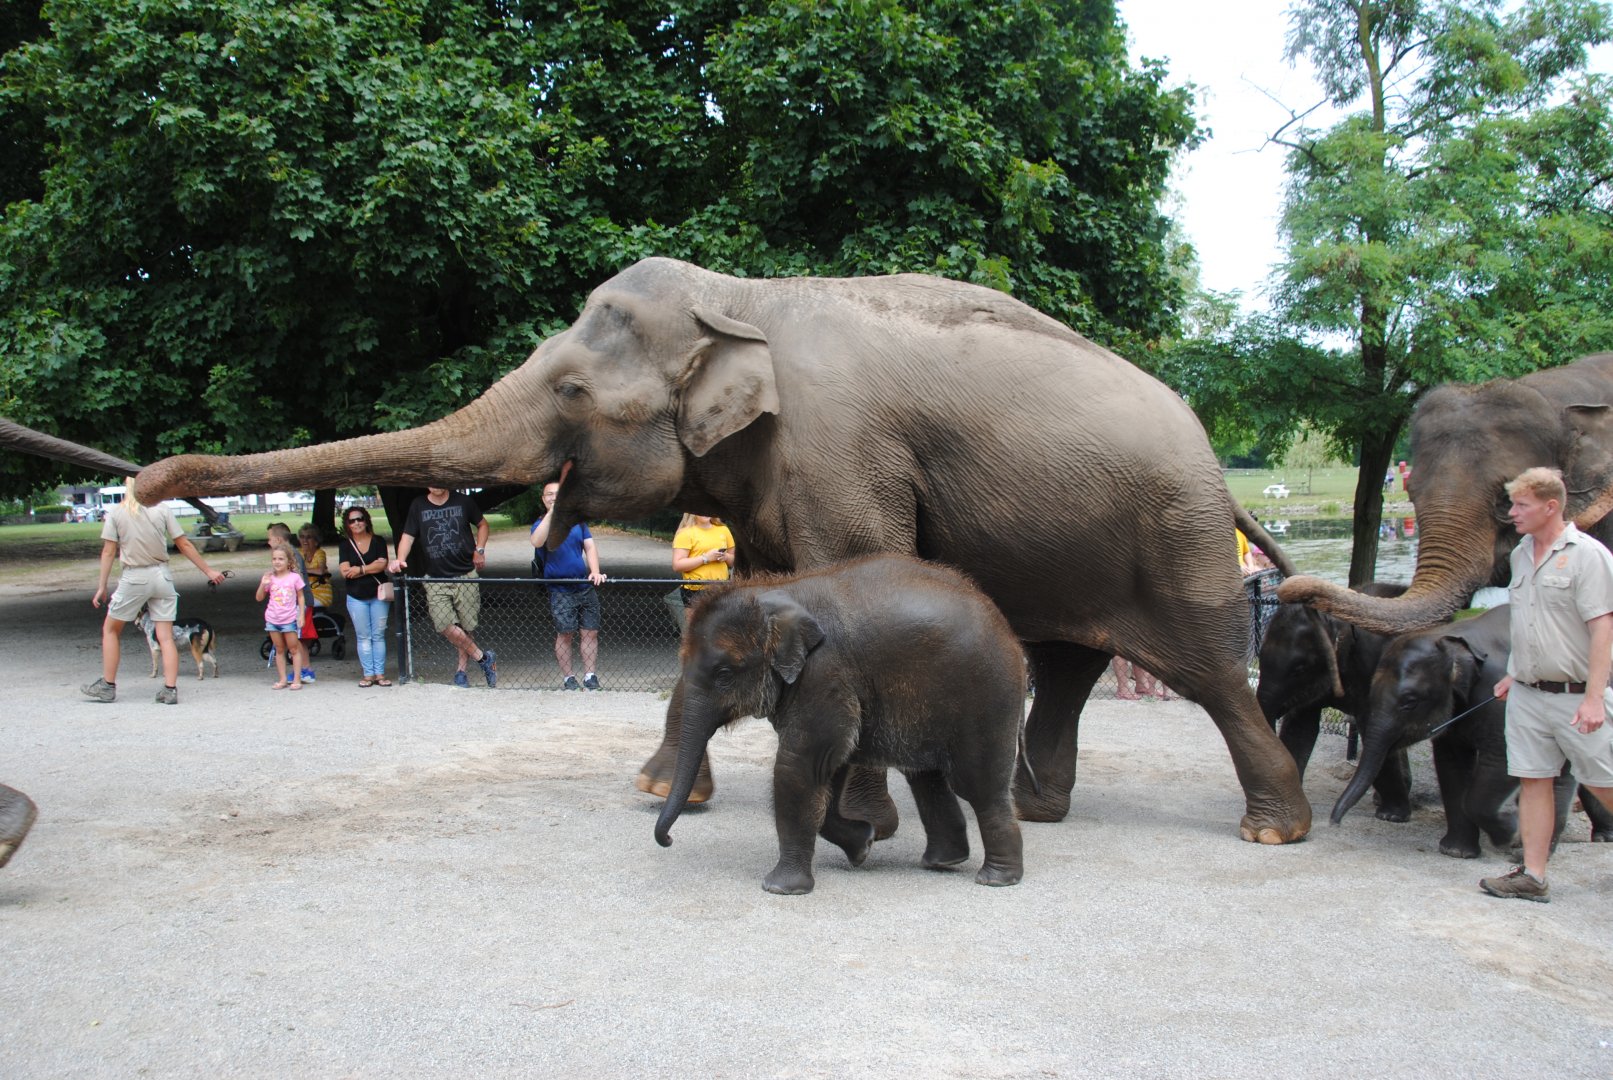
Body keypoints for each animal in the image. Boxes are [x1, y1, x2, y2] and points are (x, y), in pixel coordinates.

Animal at [135, 256, 1310, 844]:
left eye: (572, 389)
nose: (144, 482)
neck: (746, 297)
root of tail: (1206, 445)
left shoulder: (841, 449)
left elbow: (853, 572)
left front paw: (855, 823)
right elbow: (731, 598)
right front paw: (663, 787)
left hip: (1176, 529)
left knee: (1209, 671)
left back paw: (1270, 832)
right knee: (1064, 664)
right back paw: (1033, 810)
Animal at [654, 555, 1027, 895]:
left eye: (724, 674)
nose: (669, 839)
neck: (776, 591)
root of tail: (1007, 628)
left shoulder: (825, 673)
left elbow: (799, 766)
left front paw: (779, 889)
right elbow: (832, 763)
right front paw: (864, 845)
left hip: (986, 698)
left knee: (977, 784)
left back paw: (996, 879)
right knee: (926, 778)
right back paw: (943, 862)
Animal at [1255, 582, 1414, 820]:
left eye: (1299, 669)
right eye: (1260, 657)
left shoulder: (1375, 671)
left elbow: (1373, 730)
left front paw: (1392, 816)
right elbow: (1300, 728)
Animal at [1332, 604, 1613, 857]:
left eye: (1409, 702)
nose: (1334, 822)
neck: (1450, 637)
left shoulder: (1499, 703)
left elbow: (1502, 763)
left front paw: (1509, 832)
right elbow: (1451, 767)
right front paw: (1456, 852)